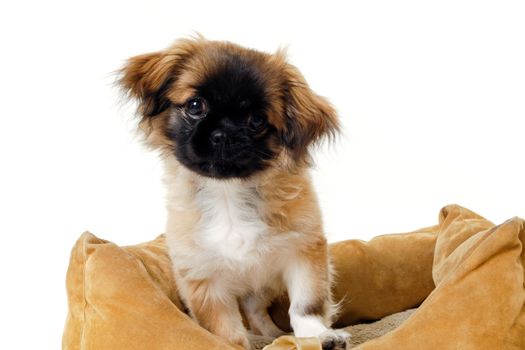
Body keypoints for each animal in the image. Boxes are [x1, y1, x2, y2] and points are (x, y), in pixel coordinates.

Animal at [118, 37, 348, 348]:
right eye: (195, 105)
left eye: (257, 121)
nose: (224, 134)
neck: (227, 193)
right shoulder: (205, 281)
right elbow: (227, 332)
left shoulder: (303, 252)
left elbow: (305, 306)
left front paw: (317, 336)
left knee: (257, 310)